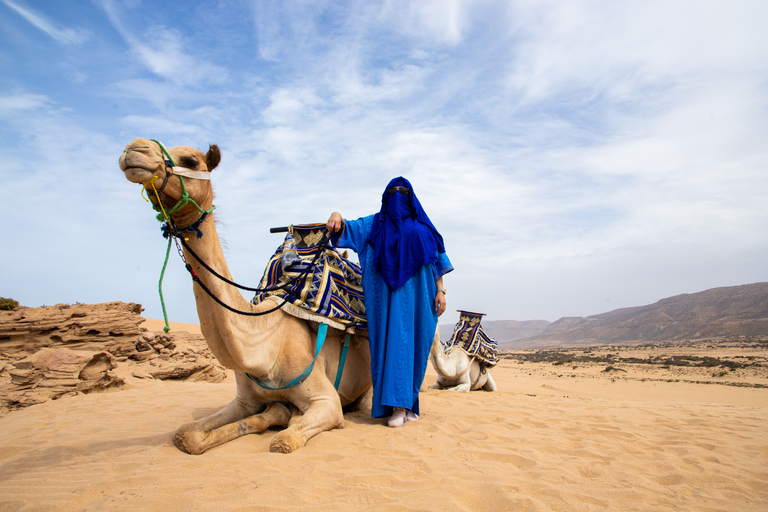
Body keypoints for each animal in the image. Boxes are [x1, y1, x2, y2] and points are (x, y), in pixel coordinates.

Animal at [118, 139, 374, 452]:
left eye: (191, 161)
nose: (134, 149)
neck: (263, 350)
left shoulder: (327, 401)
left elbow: (283, 440)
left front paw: (282, 418)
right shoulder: (244, 400)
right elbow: (187, 434)